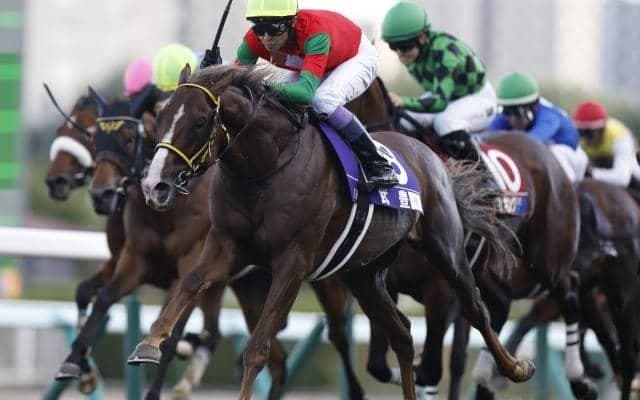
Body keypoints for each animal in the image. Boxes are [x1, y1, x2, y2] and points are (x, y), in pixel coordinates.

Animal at [129, 64, 533, 400]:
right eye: (160, 117)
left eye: (199, 122)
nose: (154, 185)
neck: (267, 167)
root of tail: (430, 155)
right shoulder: (226, 245)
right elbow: (191, 282)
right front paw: (149, 343)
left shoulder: (293, 262)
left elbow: (257, 348)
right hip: (364, 273)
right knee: (402, 335)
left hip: (443, 248)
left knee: (475, 307)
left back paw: (515, 368)